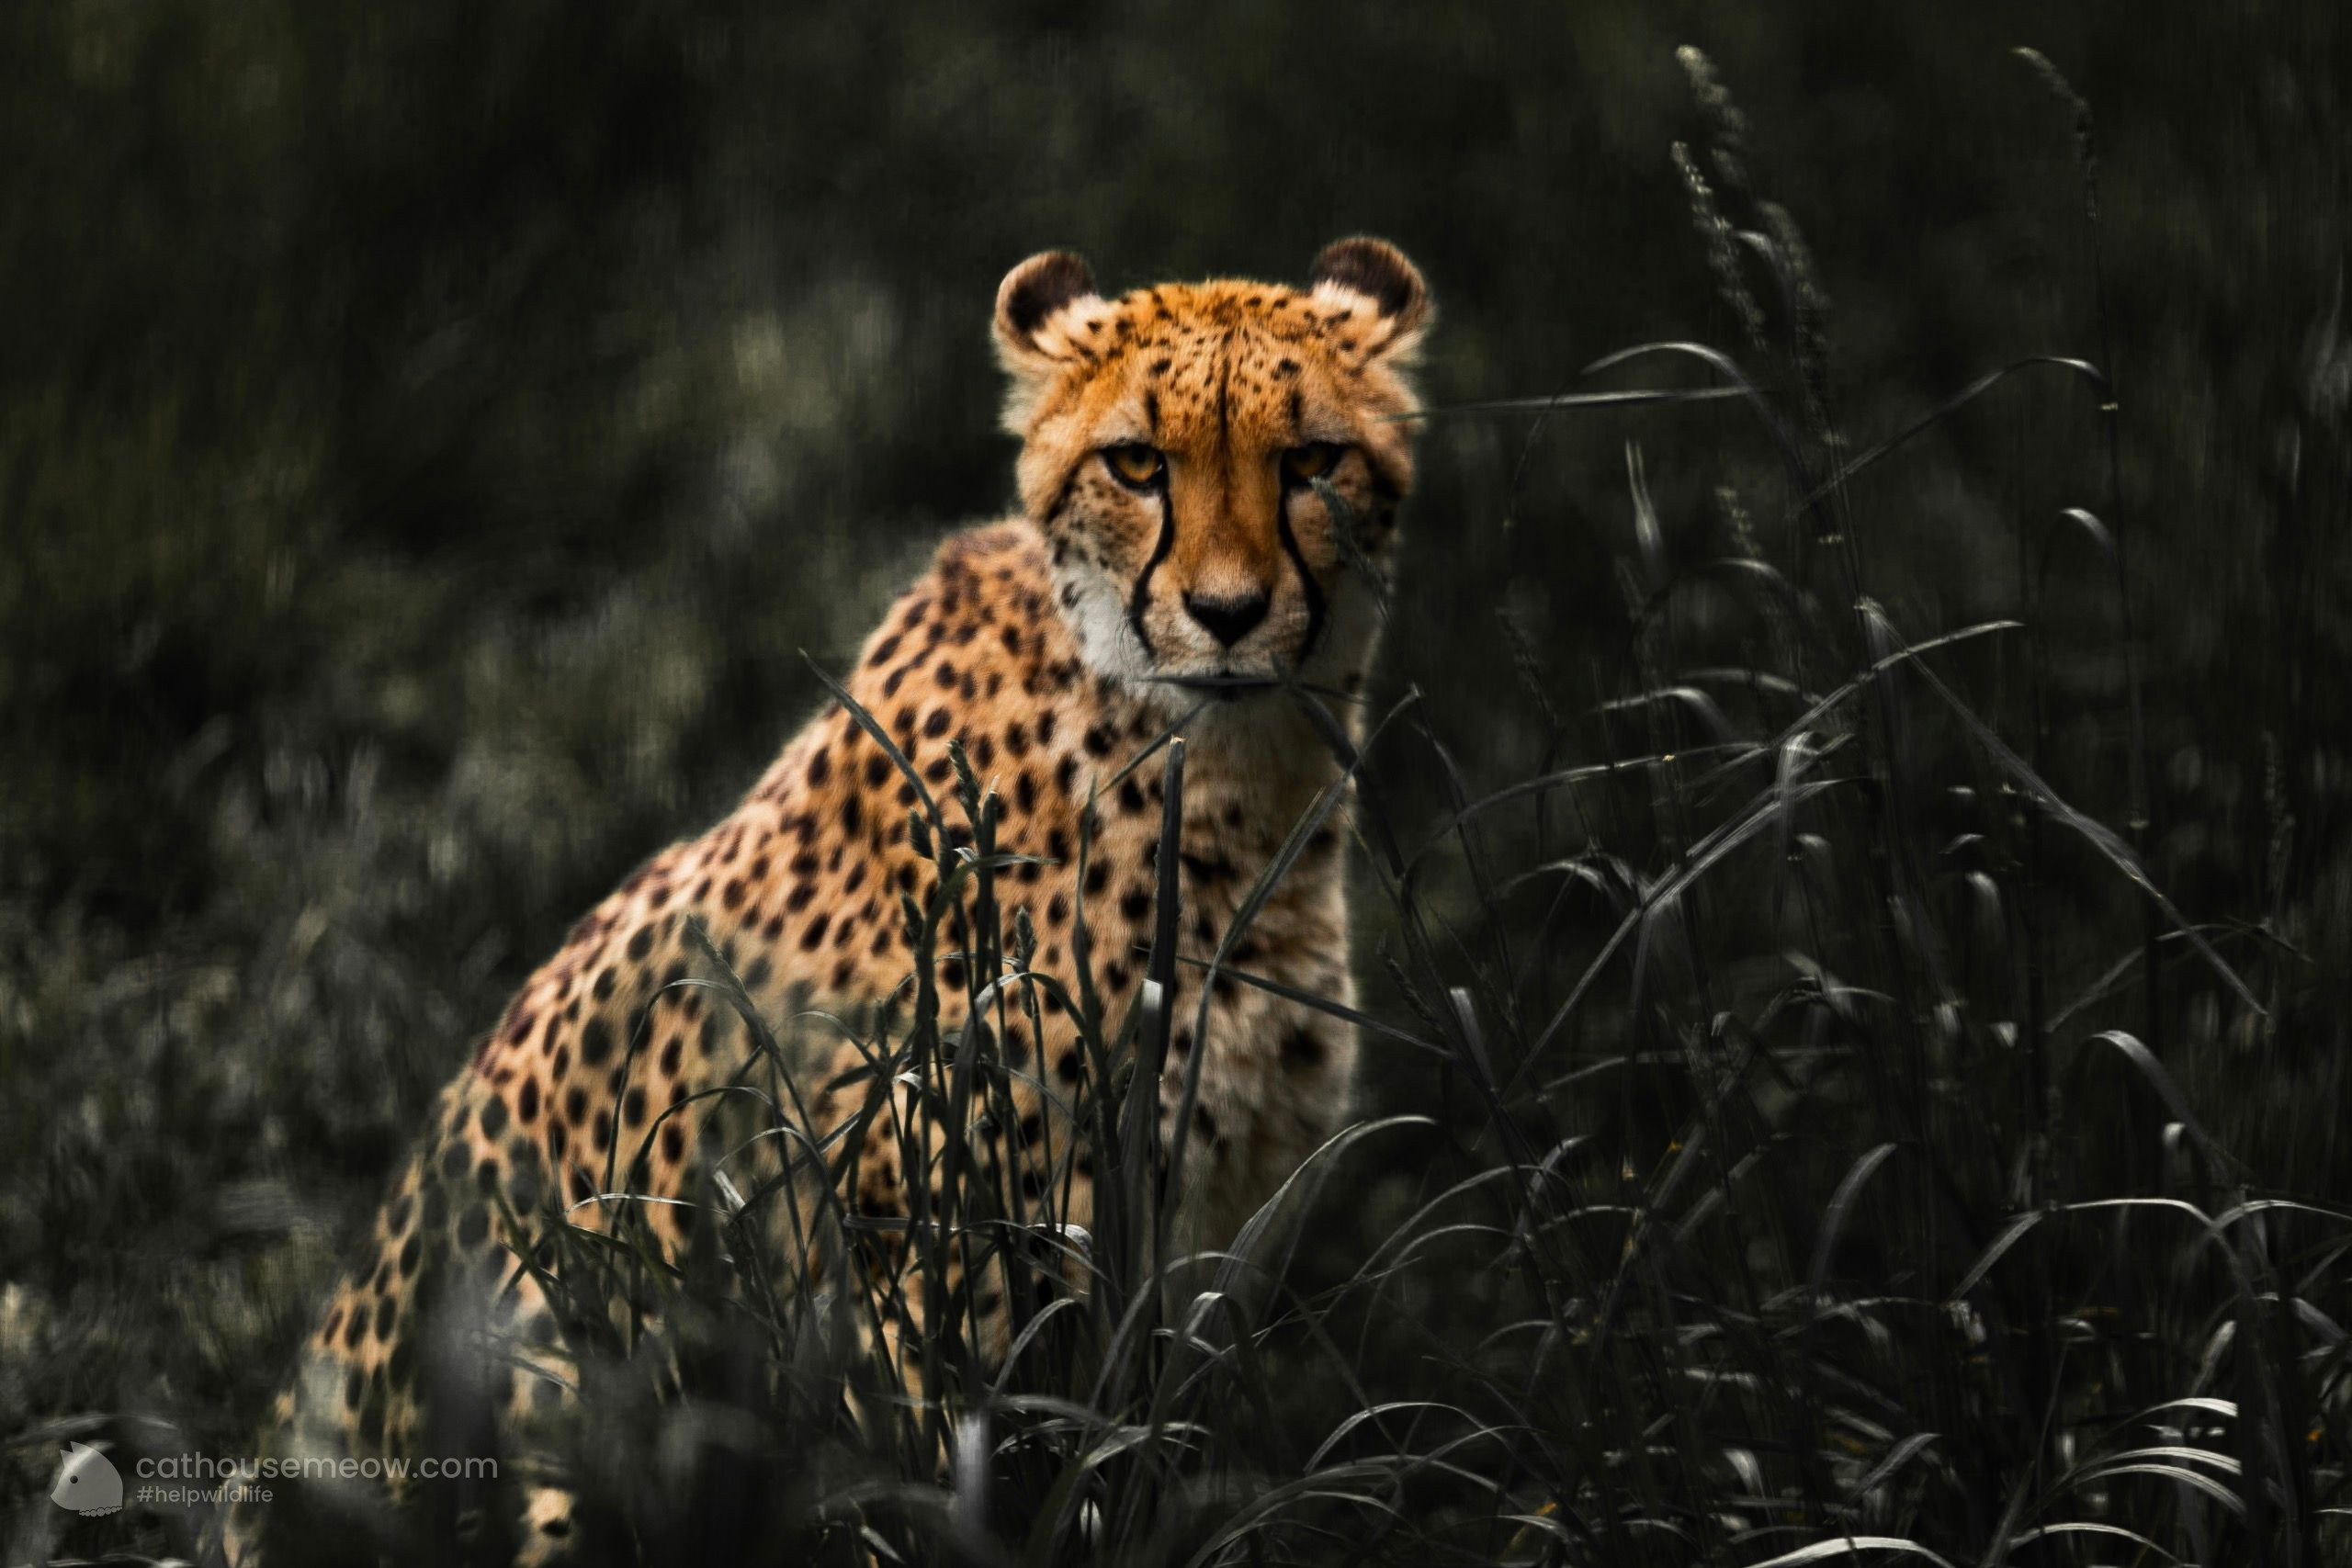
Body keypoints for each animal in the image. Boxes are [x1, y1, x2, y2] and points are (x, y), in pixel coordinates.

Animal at [225, 236, 1431, 1564]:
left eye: (1310, 461)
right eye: (1137, 463)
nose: (1225, 614)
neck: (1224, 773)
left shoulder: (1209, 1239)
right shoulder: (927, 1263)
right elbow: (966, 1481)